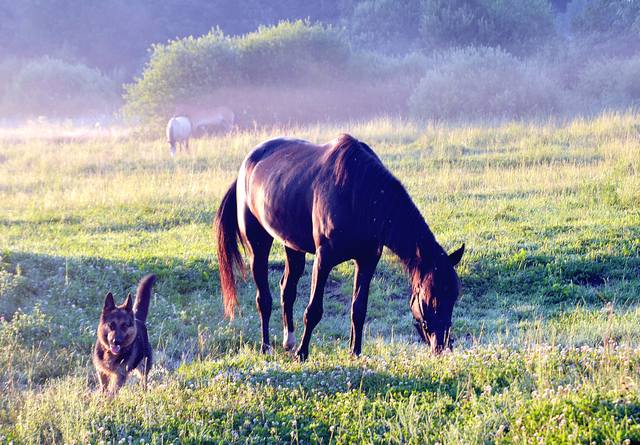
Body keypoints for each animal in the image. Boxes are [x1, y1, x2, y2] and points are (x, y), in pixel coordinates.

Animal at [215, 134, 464, 360]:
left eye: (454, 297)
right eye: (430, 298)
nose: (442, 346)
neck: (360, 195)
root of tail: (244, 168)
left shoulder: (367, 260)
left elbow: (359, 309)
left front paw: (355, 352)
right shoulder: (324, 258)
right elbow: (314, 310)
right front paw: (302, 353)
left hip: (292, 246)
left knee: (287, 289)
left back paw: (288, 341)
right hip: (258, 245)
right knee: (264, 299)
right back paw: (266, 346)